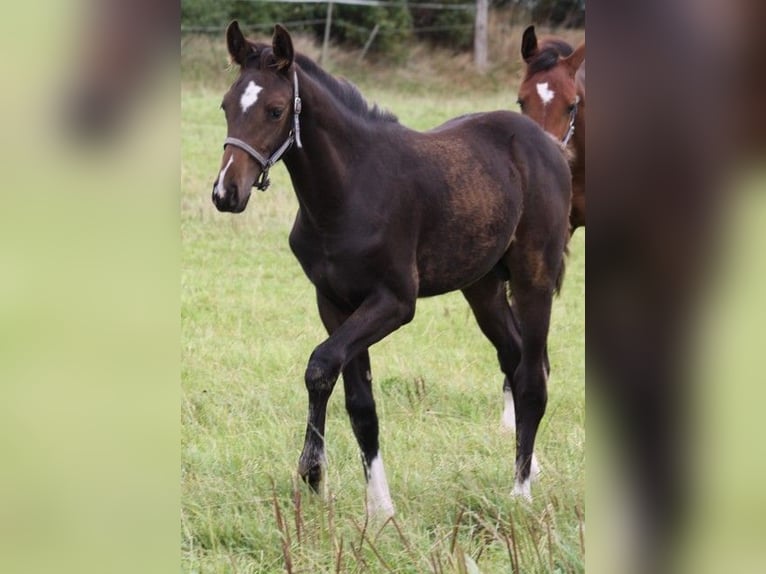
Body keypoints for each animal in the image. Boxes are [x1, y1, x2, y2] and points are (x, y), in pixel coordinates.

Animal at [213, 21, 572, 516]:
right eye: (226, 105)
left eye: (275, 110)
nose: (226, 193)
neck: (348, 190)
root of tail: (549, 145)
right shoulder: (334, 302)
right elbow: (359, 401)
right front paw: (378, 506)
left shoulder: (394, 302)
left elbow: (320, 364)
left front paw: (313, 472)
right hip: (482, 287)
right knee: (515, 358)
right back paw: (531, 466)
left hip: (532, 277)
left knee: (533, 375)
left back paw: (519, 493)